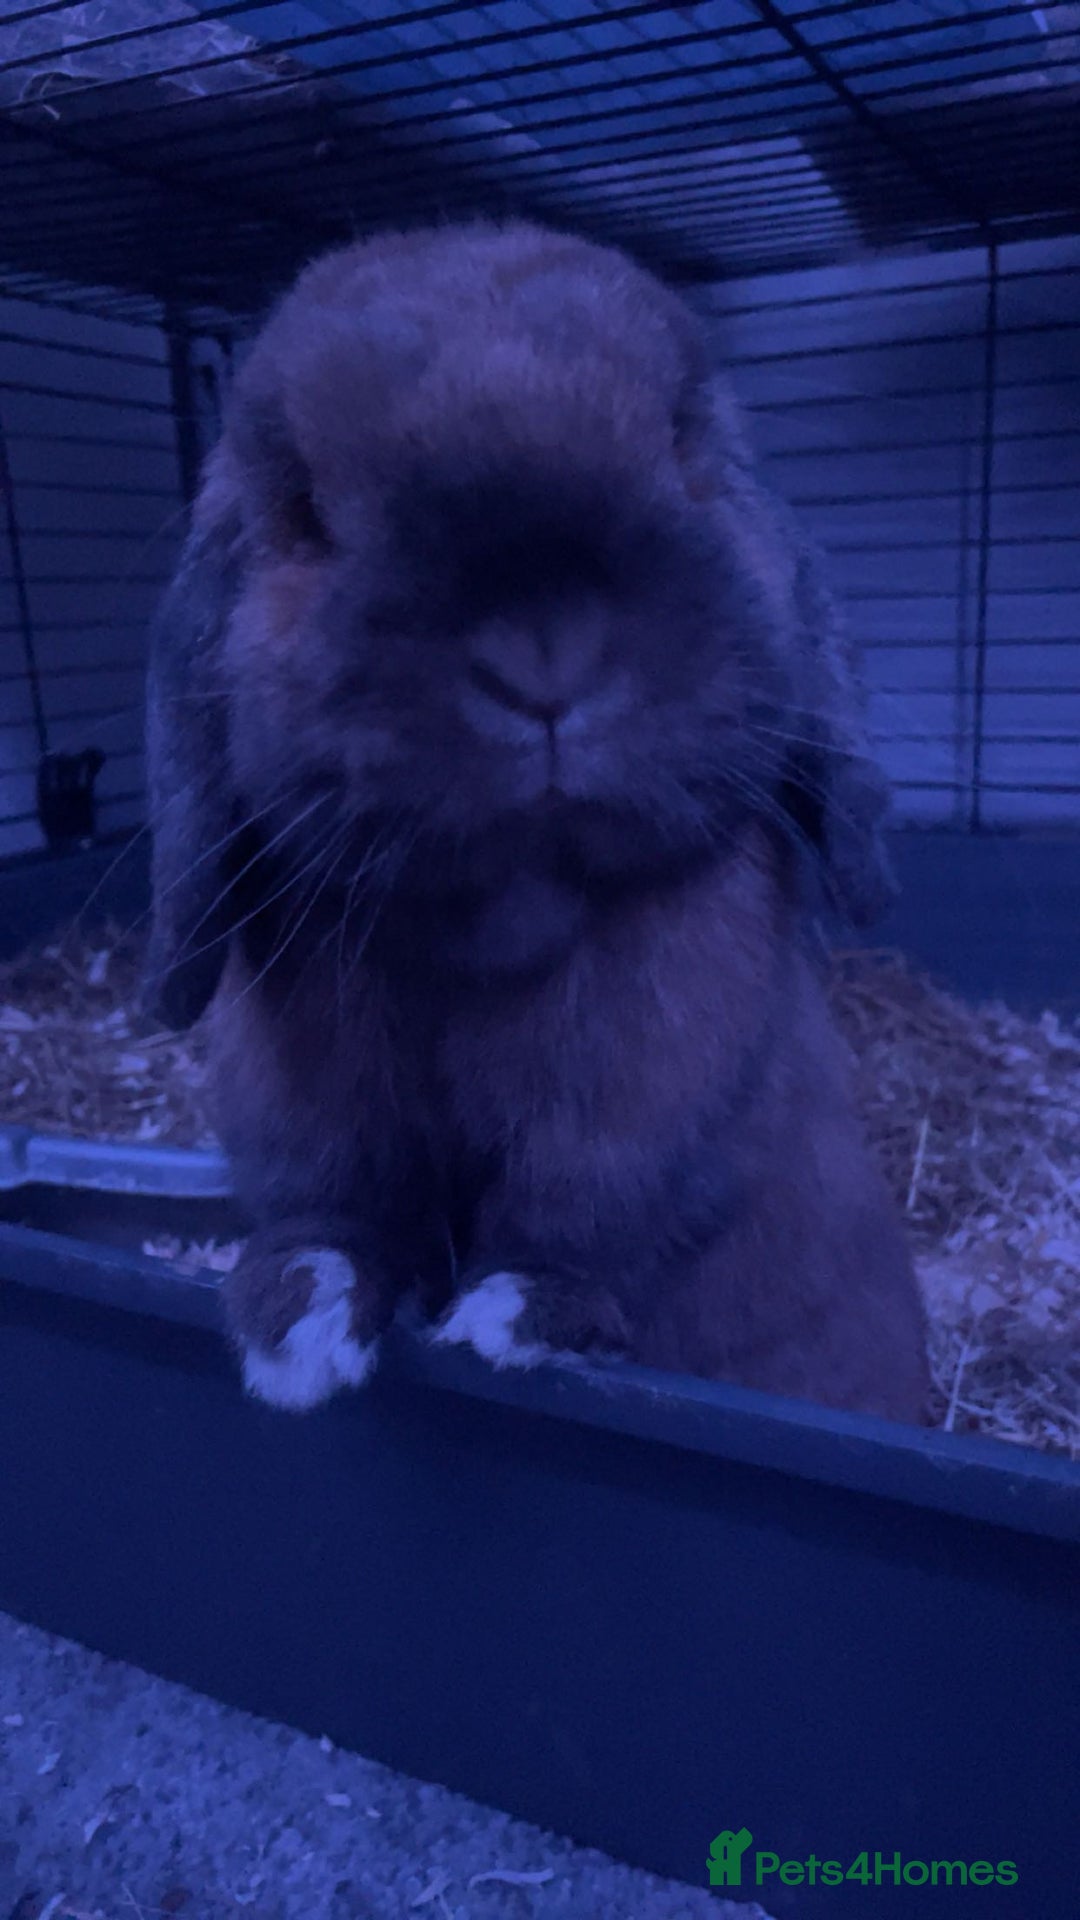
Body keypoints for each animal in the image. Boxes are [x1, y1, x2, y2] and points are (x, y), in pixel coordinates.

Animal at [143, 218, 930, 1423]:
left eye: (685, 445)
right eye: (303, 510)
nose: (543, 648)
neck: (504, 922)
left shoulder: (652, 1082)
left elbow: (590, 1204)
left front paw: (513, 1319)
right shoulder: (298, 1098)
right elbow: (332, 1203)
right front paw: (295, 1328)